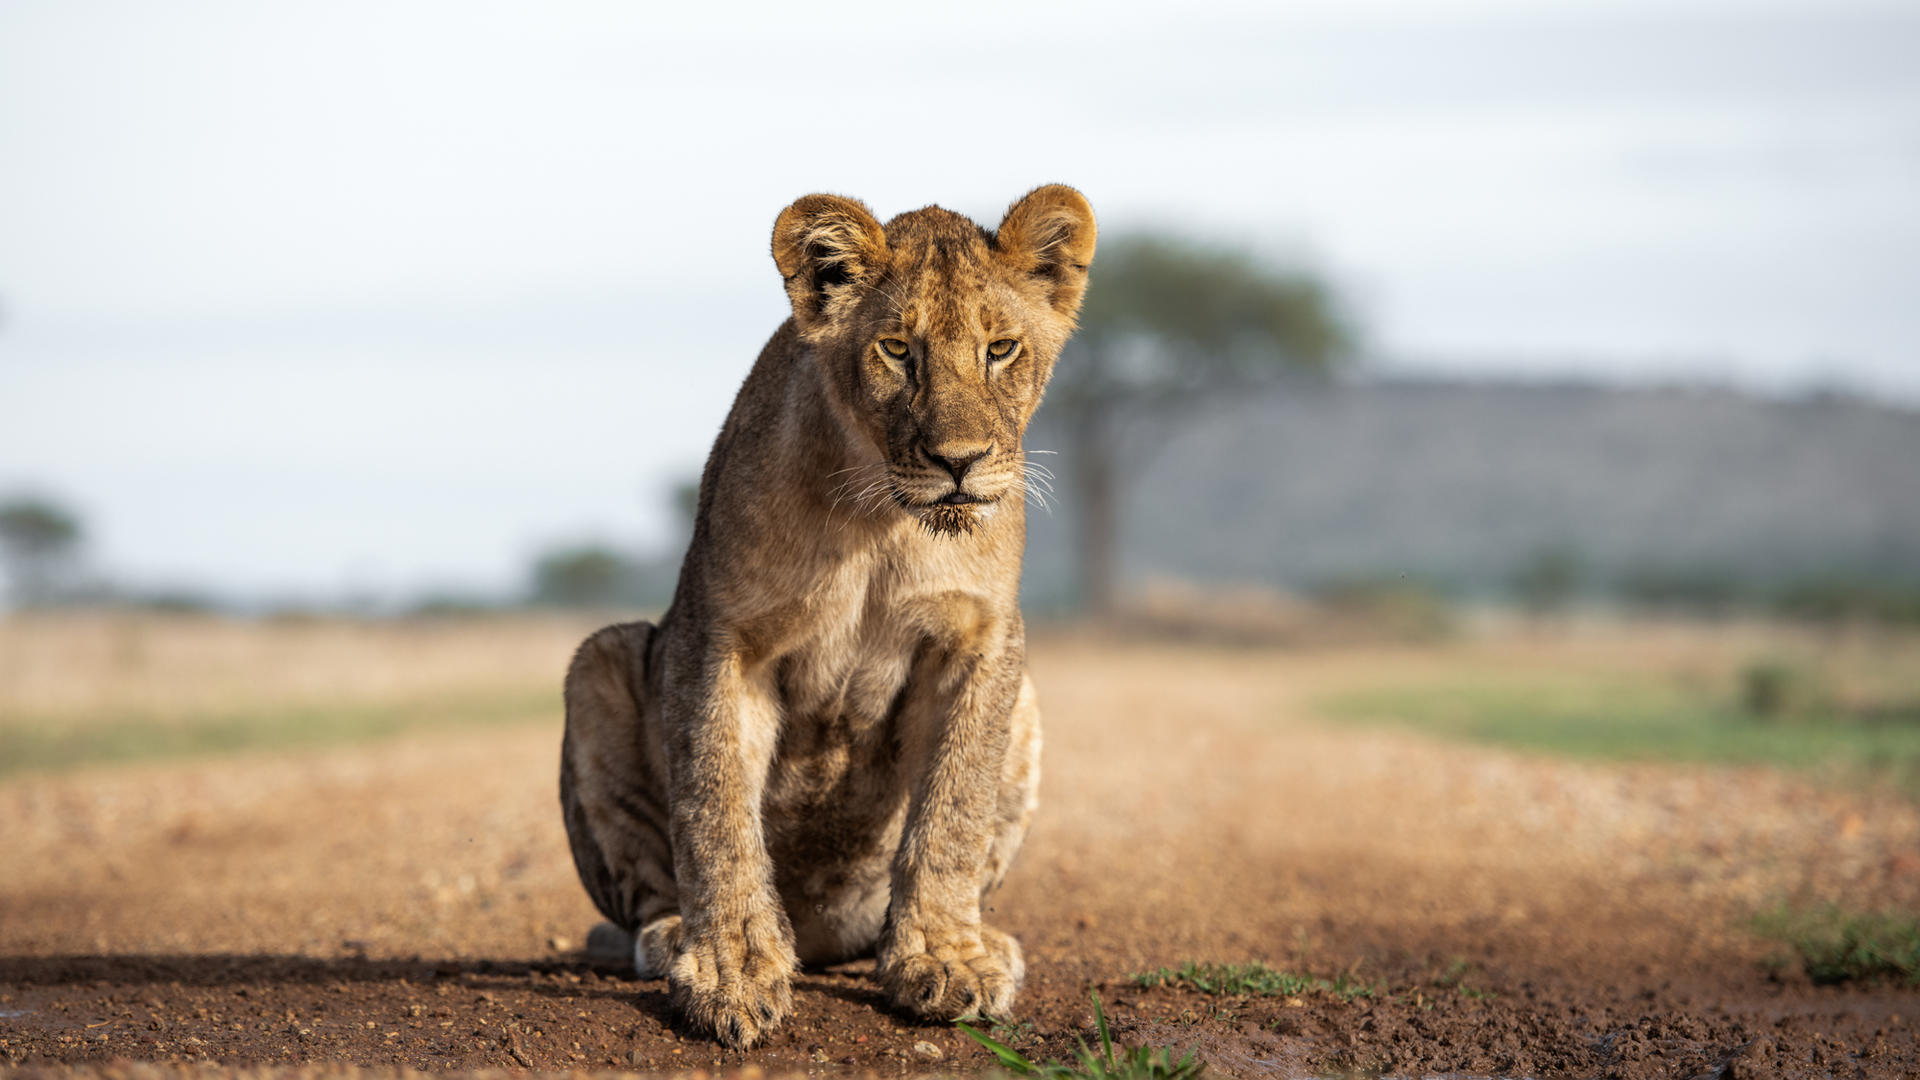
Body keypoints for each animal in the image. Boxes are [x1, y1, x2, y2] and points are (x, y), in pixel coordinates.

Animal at [558, 185, 1096, 1049]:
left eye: (1001, 348)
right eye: (898, 350)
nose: (959, 462)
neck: (882, 519)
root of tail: (818, 938)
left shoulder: (983, 639)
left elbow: (952, 813)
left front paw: (944, 956)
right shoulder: (721, 635)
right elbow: (714, 806)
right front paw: (731, 971)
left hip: (1027, 704)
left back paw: (983, 941)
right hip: (599, 660)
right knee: (646, 898)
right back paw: (676, 938)